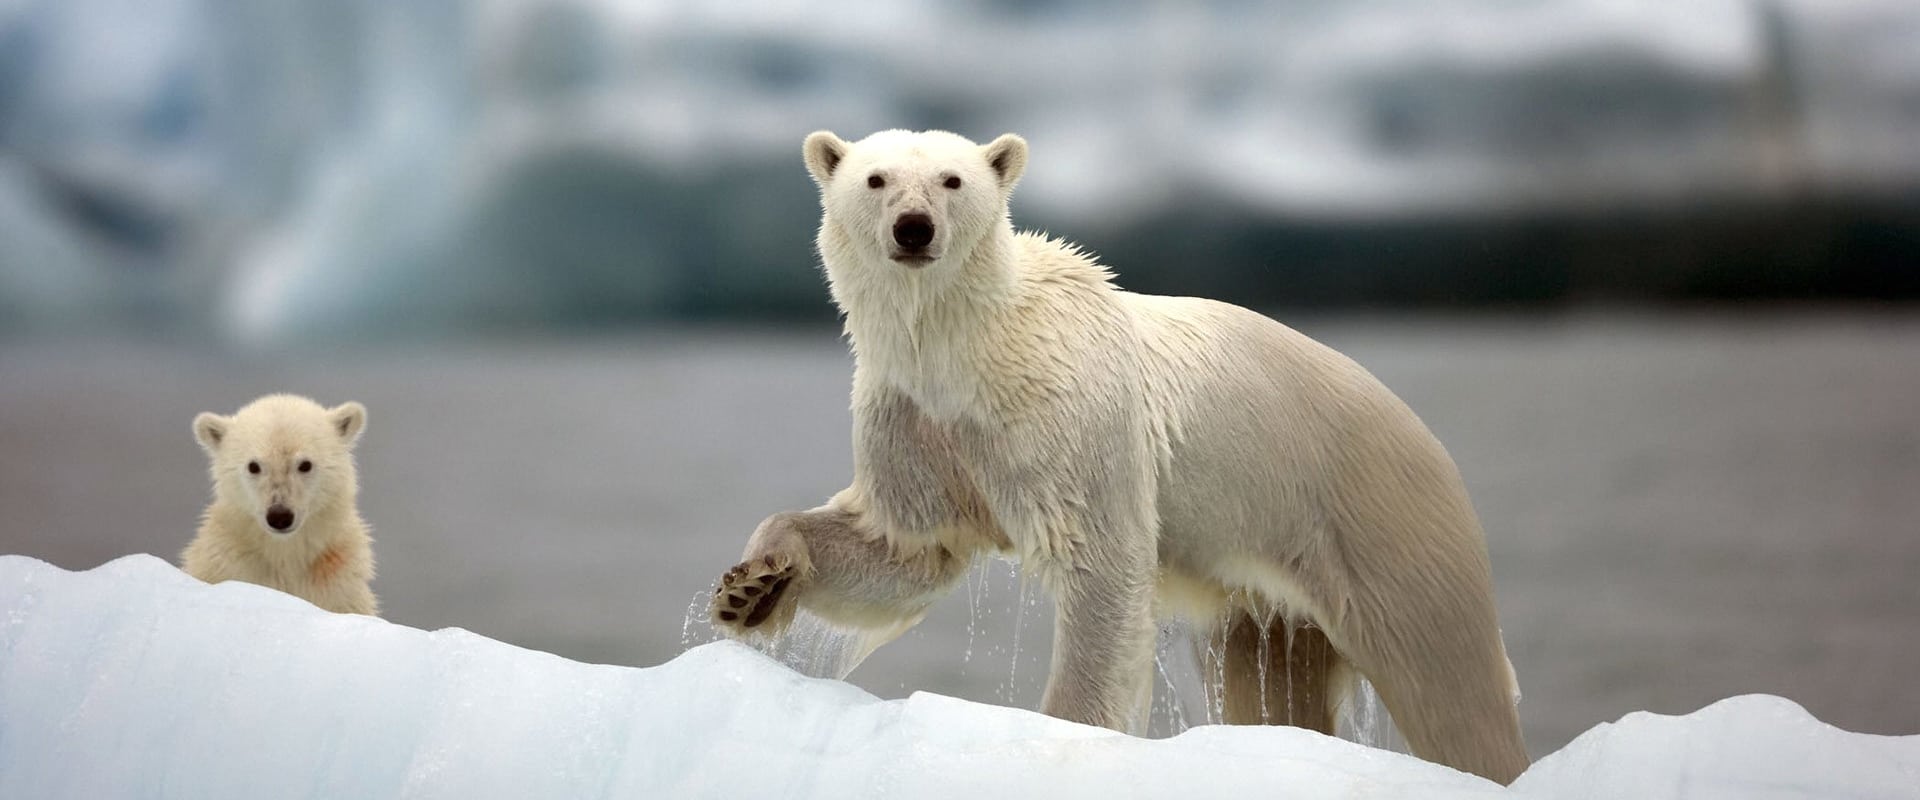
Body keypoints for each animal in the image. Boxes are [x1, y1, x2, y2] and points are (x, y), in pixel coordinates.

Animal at [180, 395, 378, 613]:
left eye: (305, 464)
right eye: (253, 466)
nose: (280, 516)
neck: (284, 554)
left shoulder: (337, 583)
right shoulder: (229, 567)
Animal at [706, 129, 1528, 778]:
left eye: (952, 179)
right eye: (875, 179)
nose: (913, 227)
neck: (967, 351)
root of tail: (1424, 436)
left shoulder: (1068, 416)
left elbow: (1098, 565)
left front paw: (1062, 733)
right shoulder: (913, 419)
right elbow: (906, 547)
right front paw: (753, 587)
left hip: (1381, 521)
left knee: (1450, 685)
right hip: (1270, 595)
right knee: (1272, 683)